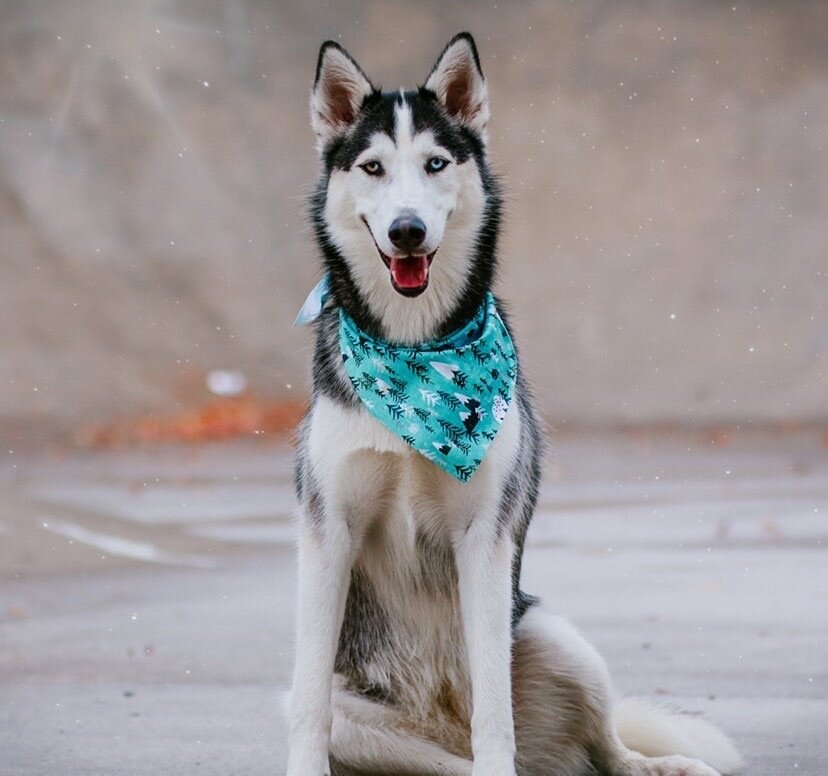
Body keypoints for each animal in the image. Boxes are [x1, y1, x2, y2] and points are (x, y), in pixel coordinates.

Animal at [286, 31, 744, 776]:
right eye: (374, 167)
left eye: (436, 163)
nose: (408, 230)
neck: (417, 356)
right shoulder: (329, 532)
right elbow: (308, 705)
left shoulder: (485, 539)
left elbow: (492, 708)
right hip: (374, 722)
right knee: (432, 756)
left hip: (557, 635)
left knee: (600, 746)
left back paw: (660, 764)